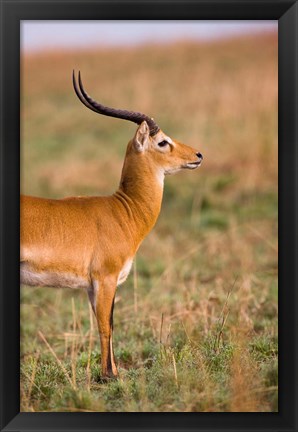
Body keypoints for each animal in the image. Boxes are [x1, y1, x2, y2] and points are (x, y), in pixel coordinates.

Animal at [19, 72, 204, 380]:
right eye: (162, 142)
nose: (198, 155)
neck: (123, 210)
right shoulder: (105, 278)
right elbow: (106, 326)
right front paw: (109, 377)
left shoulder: (95, 285)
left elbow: (110, 323)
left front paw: (112, 372)